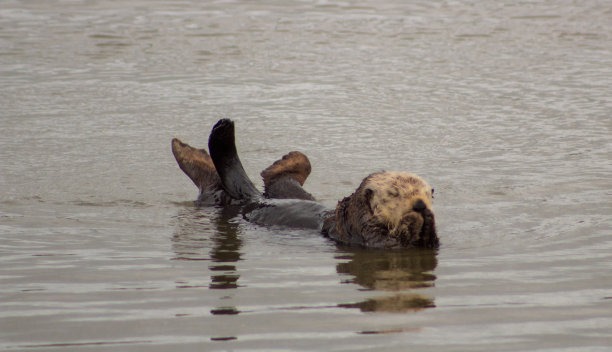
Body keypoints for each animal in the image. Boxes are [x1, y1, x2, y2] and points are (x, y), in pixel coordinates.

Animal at [172, 119, 438, 249]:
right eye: (394, 193)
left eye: (428, 194)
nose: (420, 204)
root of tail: (254, 198)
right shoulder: (363, 232)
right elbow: (385, 242)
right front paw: (416, 219)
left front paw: (426, 218)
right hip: (229, 196)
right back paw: (218, 130)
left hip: (284, 190)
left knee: (274, 178)